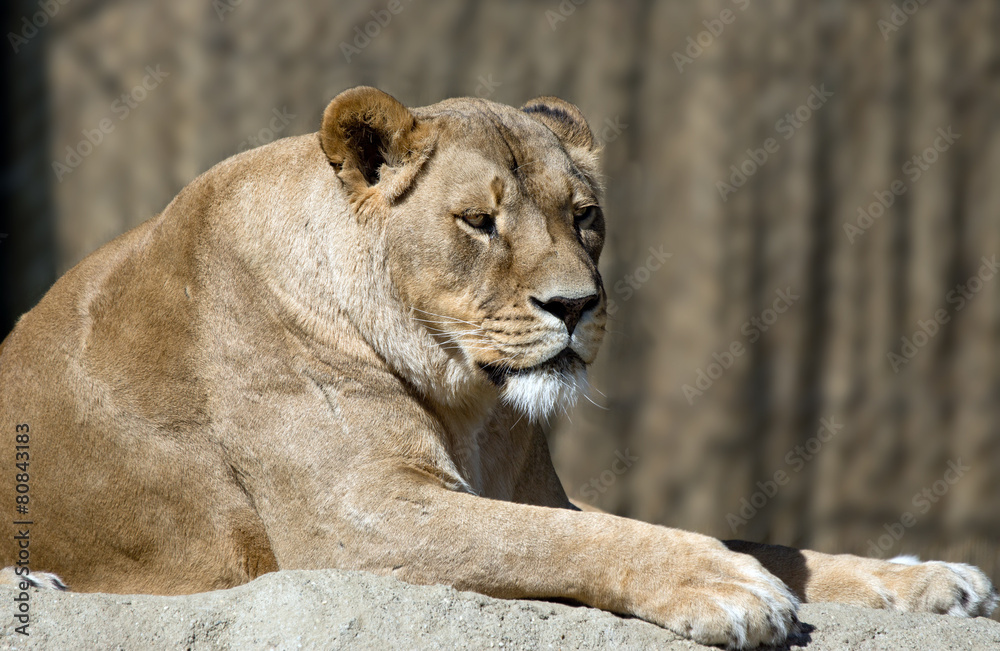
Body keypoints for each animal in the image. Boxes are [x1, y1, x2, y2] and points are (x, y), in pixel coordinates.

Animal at [0, 87, 995, 648]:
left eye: (584, 215)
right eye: (479, 222)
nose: (576, 304)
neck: (471, 400)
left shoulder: (532, 490)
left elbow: (766, 543)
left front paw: (930, 578)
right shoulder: (355, 520)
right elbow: (562, 542)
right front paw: (723, 587)